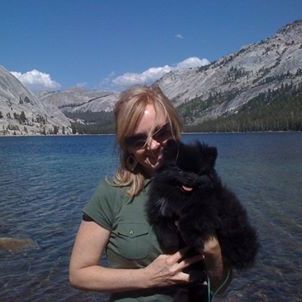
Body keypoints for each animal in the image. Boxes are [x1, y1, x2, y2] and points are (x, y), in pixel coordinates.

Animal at [147, 140, 258, 302]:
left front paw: (194, 241)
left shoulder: (206, 209)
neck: (183, 198)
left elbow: (188, 221)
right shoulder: (161, 207)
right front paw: (171, 244)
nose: (190, 177)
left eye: (198, 172)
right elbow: (163, 227)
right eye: (179, 170)